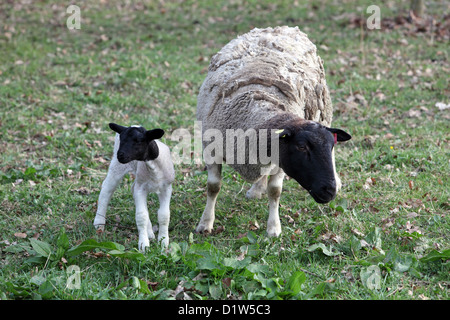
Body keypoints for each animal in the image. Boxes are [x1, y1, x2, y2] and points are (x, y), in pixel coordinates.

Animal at [195, 26, 350, 238]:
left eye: (332, 146)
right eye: (301, 147)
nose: (329, 191)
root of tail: (284, 28)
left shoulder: (280, 158)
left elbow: (275, 191)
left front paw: (273, 228)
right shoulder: (212, 151)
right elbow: (213, 187)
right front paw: (205, 223)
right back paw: (256, 189)